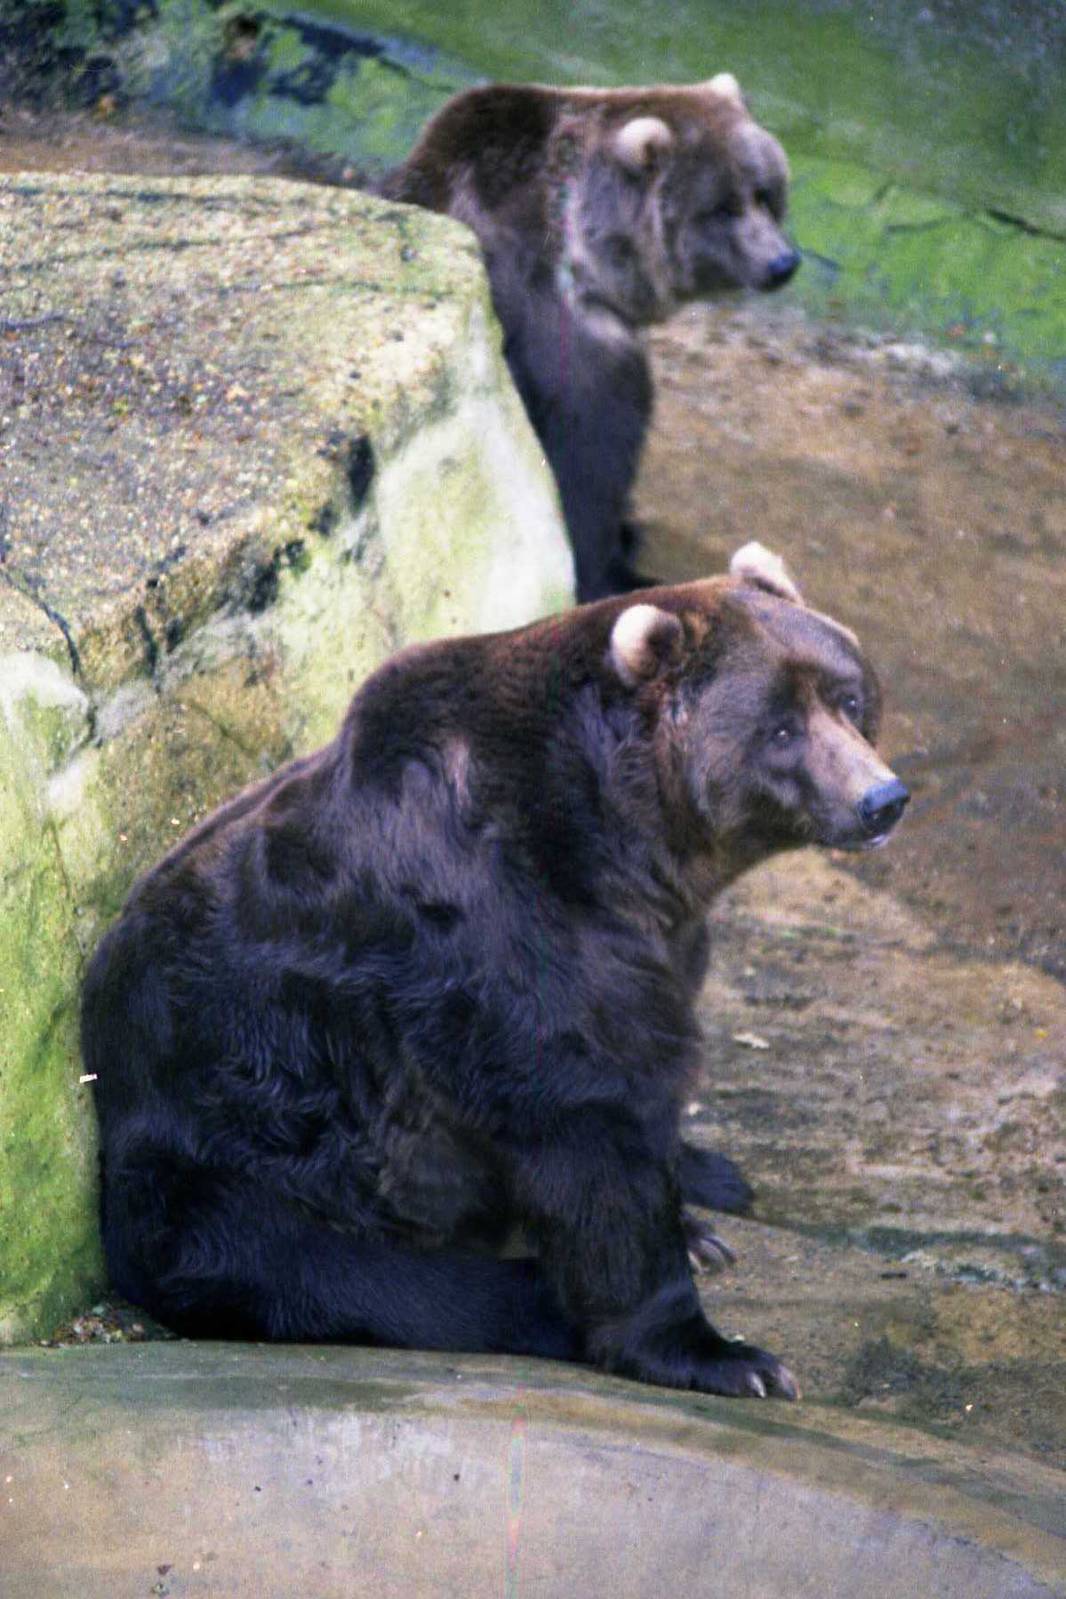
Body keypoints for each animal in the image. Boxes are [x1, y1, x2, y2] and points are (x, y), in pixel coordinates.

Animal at [83, 543, 908, 1400]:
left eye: (849, 697)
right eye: (779, 726)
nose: (882, 797)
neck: (623, 842)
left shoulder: (660, 938)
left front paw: (703, 1194)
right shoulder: (501, 936)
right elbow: (587, 1117)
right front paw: (724, 1352)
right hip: (241, 1153)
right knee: (357, 1273)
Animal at [383, 76, 800, 602]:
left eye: (764, 193)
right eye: (722, 207)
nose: (782, 262)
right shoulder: (568, 343)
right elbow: (589, 464)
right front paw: (620, 567)